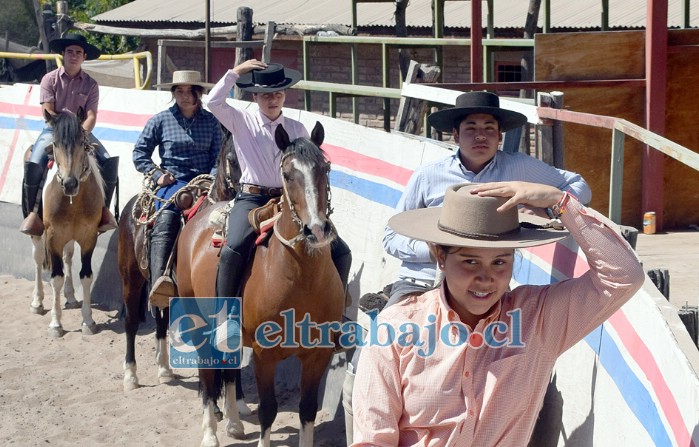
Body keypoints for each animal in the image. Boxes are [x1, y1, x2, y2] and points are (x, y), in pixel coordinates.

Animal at [119, 126, 249, 396]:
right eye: (233, 159)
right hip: (130, 278)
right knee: (131, 322)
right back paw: (131, 375)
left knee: (161, 318)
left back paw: (164, 370)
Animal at [178, 121, 348, 446]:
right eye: (288, 174)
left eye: (325, 168)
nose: (317, 230)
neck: (301, 279)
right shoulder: (264, 355)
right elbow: (268, 408)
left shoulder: (318, 354)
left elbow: (307, 409)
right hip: (196, 318)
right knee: (208, 373)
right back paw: (211, 433)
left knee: (229, 368)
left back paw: (234, 422)